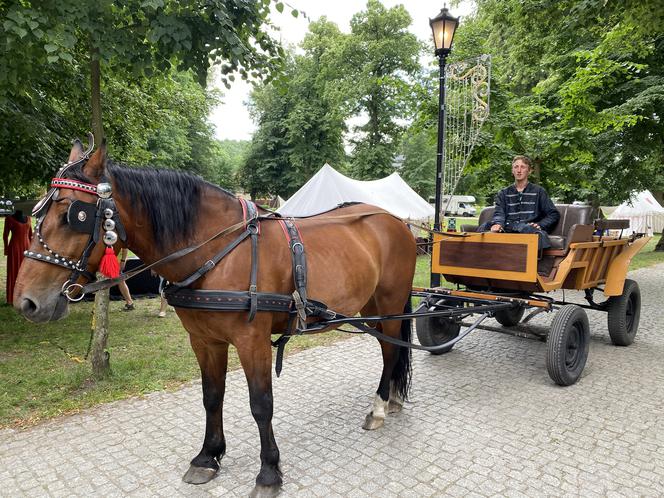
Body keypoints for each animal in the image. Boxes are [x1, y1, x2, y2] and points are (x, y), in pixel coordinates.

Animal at [14, 142, 416, 496]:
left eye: (73, 215)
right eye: (39, 213)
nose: (26, 302)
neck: (216, 251)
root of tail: (395, 220)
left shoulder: (252, 342)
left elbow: (261, 405)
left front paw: (269, 472)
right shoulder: (204, 340)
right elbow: (212, 396)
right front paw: (208, 457)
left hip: (390, 301)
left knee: (390, 351)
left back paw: (379, 407)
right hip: (371, 307)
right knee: (389, 348)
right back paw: (393, 398)